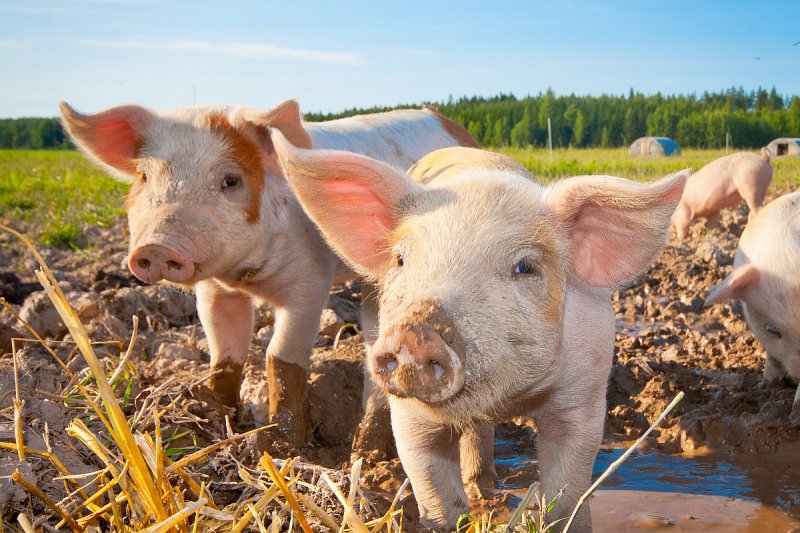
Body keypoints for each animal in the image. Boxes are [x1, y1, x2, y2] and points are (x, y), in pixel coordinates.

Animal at [59, 98, 478, 444]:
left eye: (230, 180)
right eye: (144, 177)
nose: (158, 247)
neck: (248, 278)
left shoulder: (311, 282)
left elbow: (280, 357)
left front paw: (283, 445)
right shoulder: (214, 290)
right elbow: (224, 354)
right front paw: (219, 419)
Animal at [276, 135, 688, 528]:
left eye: (525, 266)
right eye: (400, 259)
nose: (414, 335)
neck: (509, 398)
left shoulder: (583, 397)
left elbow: (567, 496)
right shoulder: (411, 417)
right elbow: (435, 491)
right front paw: (447, 518)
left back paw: (485, 481)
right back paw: (369, 452)